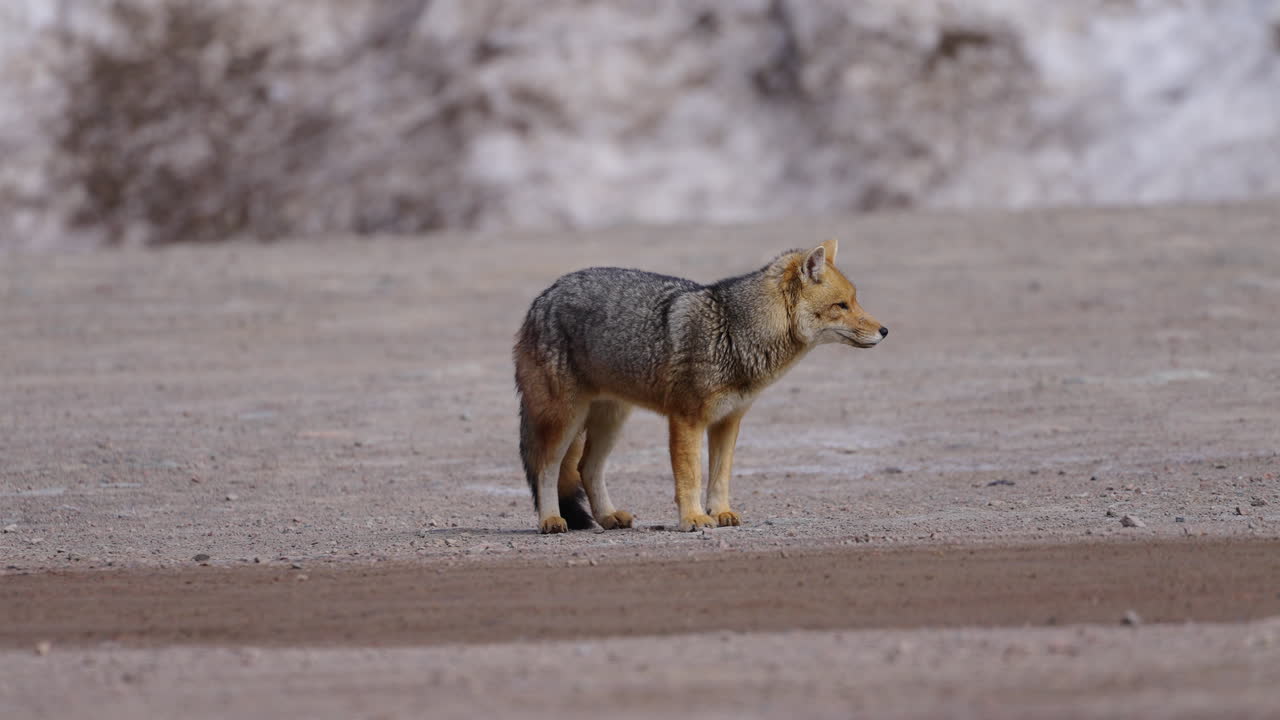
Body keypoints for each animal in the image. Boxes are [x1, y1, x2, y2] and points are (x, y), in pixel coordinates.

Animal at [513, 239, 887, 533]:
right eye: (842, 305)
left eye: (856, 301)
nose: (885, 331)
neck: (734, 331)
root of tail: (544, 295)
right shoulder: (686, 420)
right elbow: (690, 475)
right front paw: (693, 518)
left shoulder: (728, 421)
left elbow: (720, 474)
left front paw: (721, 513)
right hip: (564, 420)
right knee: (547, 468)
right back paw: (550, 520)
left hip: (611, 421)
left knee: (586, 468)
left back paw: (607, 517)